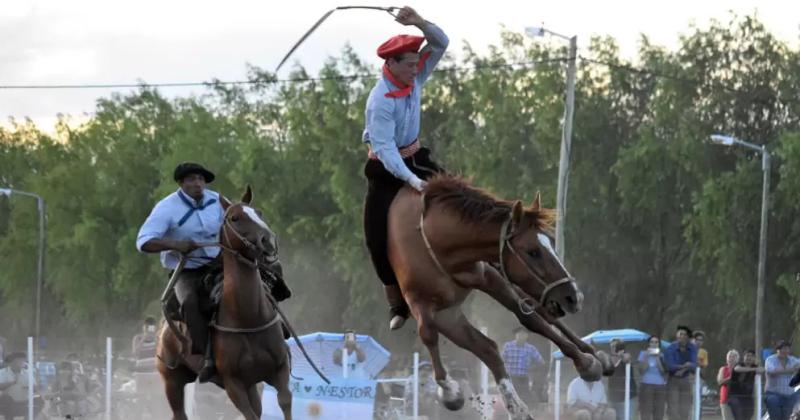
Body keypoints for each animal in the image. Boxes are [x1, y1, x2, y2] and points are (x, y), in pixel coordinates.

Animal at [157, 187, 294, 420]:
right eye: (235, 218)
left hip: (251, 384)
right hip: (171, 380)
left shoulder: (279, 369)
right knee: (179, 412)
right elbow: (249, 414)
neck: (248, 318)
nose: (268, 241)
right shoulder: (233, 385)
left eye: (259, 212)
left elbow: (284, 401)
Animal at [388, 175, 612, 420]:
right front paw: (450, 393)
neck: (436, 240)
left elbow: (530, 320)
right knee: (489, 348)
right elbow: (427, 335)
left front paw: (587, 363)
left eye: (552, 243)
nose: (574, 297)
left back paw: (596, 355)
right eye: (532, 251)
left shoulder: (490, 278)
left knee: (541, 318)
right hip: (449, 316)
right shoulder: (420, 302)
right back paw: (517, 407)